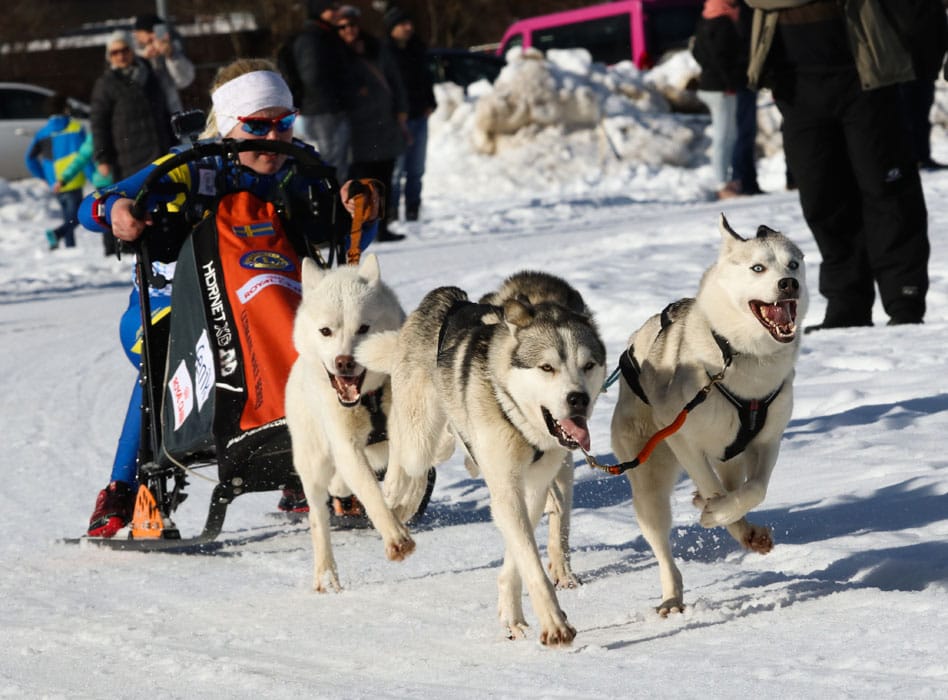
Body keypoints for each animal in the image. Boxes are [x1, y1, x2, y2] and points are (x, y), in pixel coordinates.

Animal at [284, 254, 412, 592]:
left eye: (364, 328)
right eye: (325, 331)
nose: (344, 362)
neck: (367, 399)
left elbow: (399, 469)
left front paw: (397, 492)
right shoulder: (346, 446)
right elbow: (370, 493)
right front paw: (395, 538)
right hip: (313, 464)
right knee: (318, 516)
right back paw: (326, 574)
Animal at [356, 270, 608, 644]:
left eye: (588, 365)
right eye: (547, 367)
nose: (578, 399)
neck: (517, 415)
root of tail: (447, 298)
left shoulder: (531, 490)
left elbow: (518, 557)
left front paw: (512, 614)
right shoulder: (506, 488)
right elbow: (531, 563)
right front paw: (554, 623)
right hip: (418, 440)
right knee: (401, 463)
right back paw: (393, 517)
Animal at [608, 216, 808, 616]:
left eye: (793, 264)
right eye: (758, 268)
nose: (788, 284)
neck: (738, 357)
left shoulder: (769, 439)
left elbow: (755, 489)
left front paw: (732, 518)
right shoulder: (682, 437)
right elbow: (713, 487)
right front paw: (718, 514)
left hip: (729, 455)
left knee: (733, 483)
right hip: (649, 484)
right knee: (664, 547)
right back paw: (672, 596)